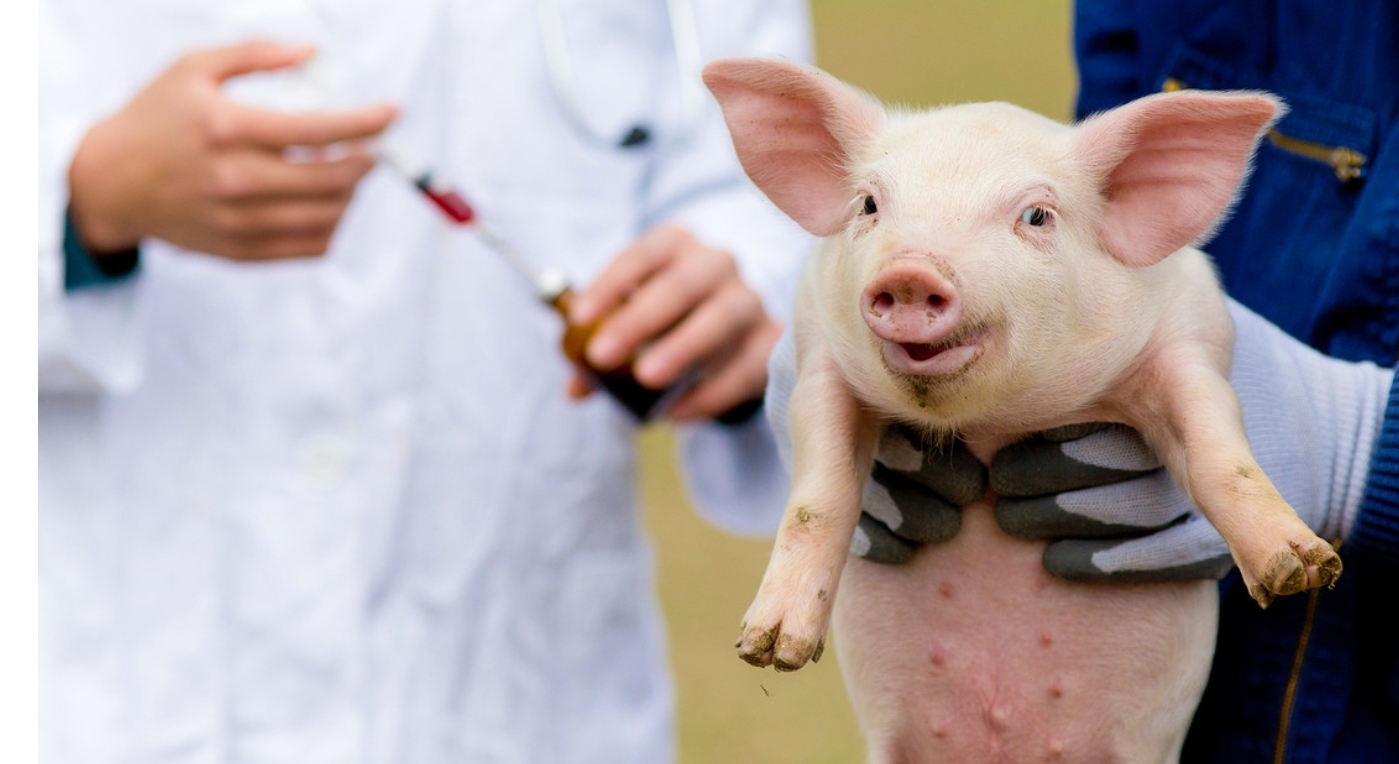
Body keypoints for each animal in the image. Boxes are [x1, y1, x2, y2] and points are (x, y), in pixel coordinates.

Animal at [702, 58, 1343, 763]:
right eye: (869, 204)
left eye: (1036, 215)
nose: (910, 272)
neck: (990, 426)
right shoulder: (818, 357)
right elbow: (819, 499)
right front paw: (767, 648)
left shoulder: (1192, 341)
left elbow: (1219, 458)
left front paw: (1300, 570)